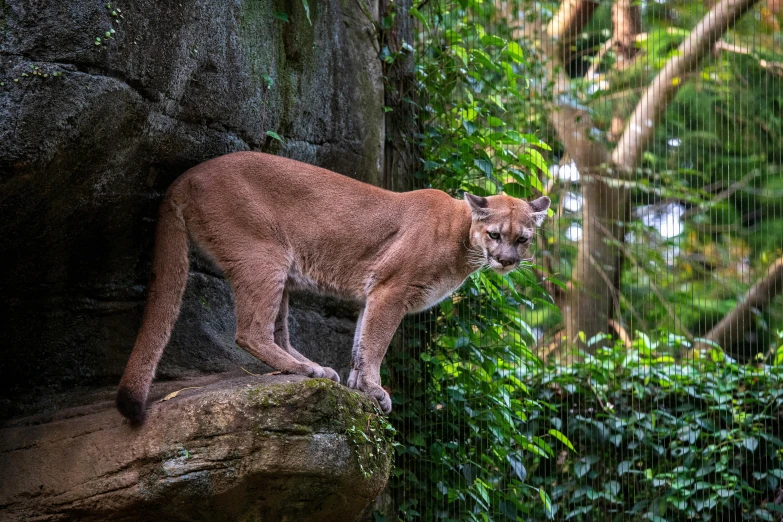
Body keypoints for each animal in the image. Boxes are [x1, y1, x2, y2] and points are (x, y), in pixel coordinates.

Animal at [118, 151, 552, 422]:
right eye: (495, 235)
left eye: (522, 239)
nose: (507, 261)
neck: (461, 234)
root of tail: (183, 177)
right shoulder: (392, 290)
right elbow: (375, 344)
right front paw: (375, 389)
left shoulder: (375, 294)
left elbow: (361, 341)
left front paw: (362, 387)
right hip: (264, 256)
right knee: (250, 331)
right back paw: (304, 368)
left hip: (283, 270)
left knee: (277, 329)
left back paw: (312, 366)